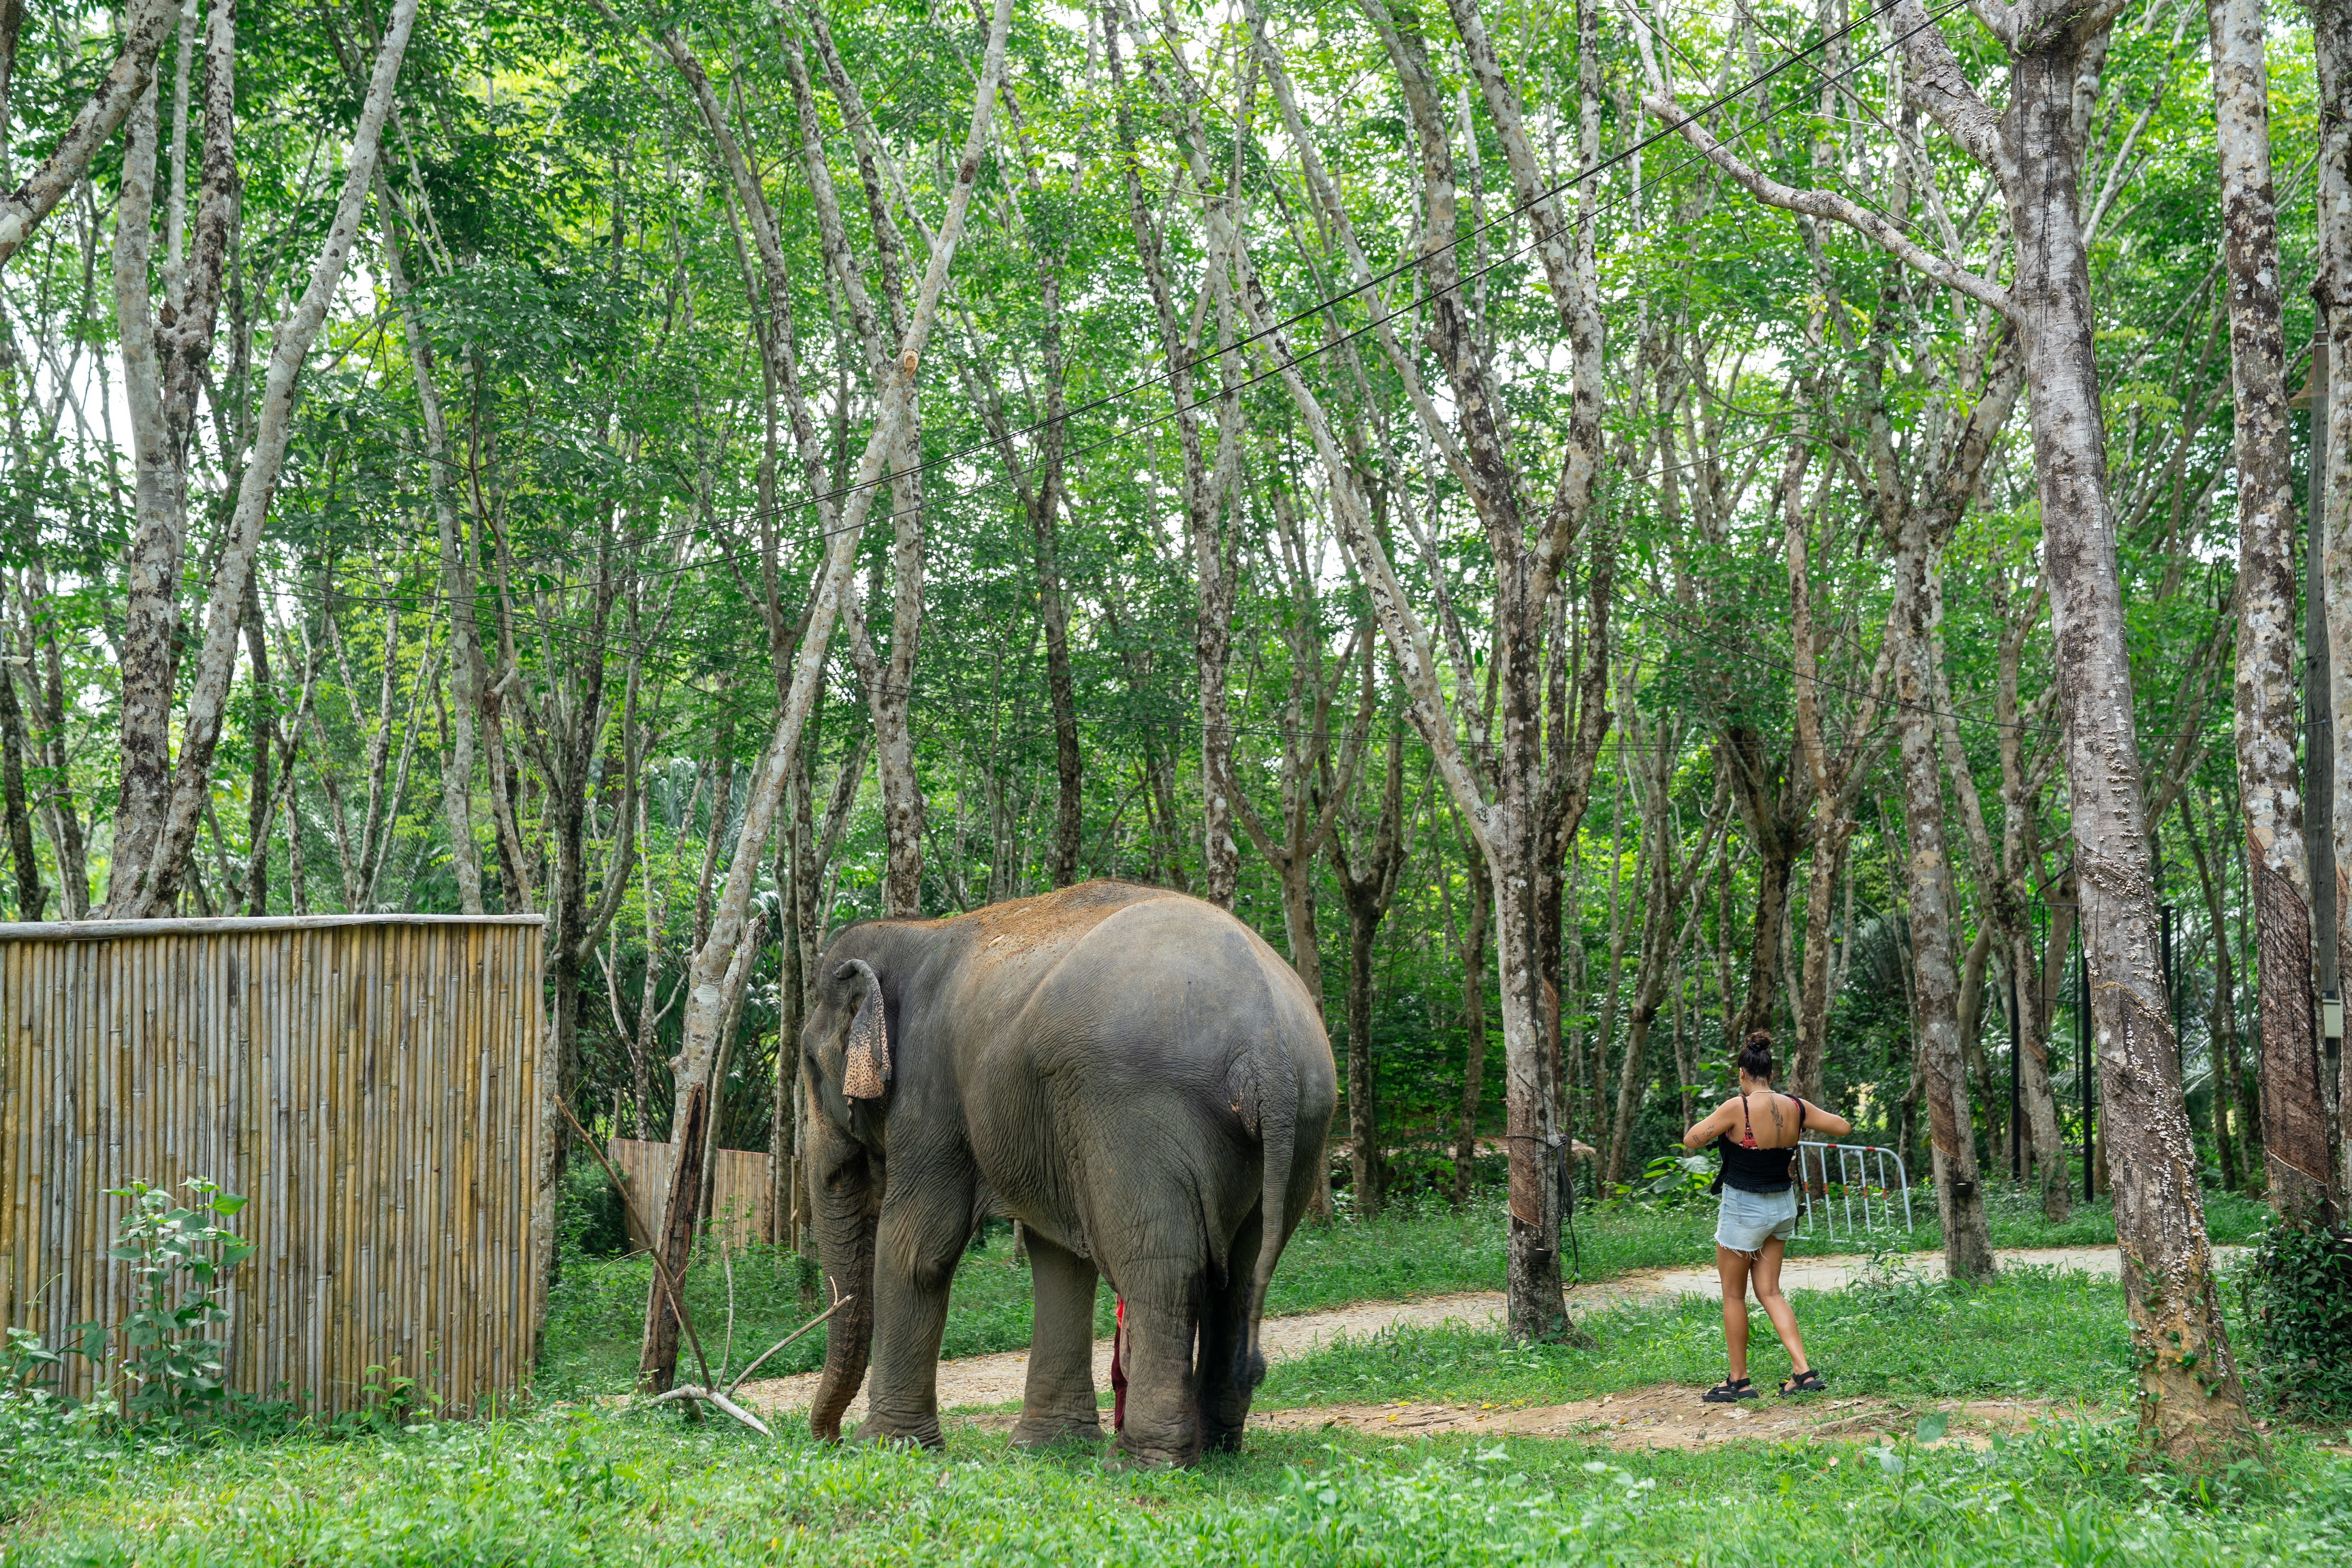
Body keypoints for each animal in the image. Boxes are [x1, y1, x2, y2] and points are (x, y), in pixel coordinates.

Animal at [797, 878, 1337, 1467]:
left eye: (808, 1065)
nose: (825, 1438)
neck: (915, 931)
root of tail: (1266, 1045)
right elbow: (1057, 1258)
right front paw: (1044, 1449)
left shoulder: (931, 1097)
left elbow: (918, 1248)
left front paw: (883, 1449)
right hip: (1304, 1125)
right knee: (1240, 1275)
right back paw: (1214, 1451)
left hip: (1139, 1113)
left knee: (1161, 1270)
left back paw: (1139, 1463)